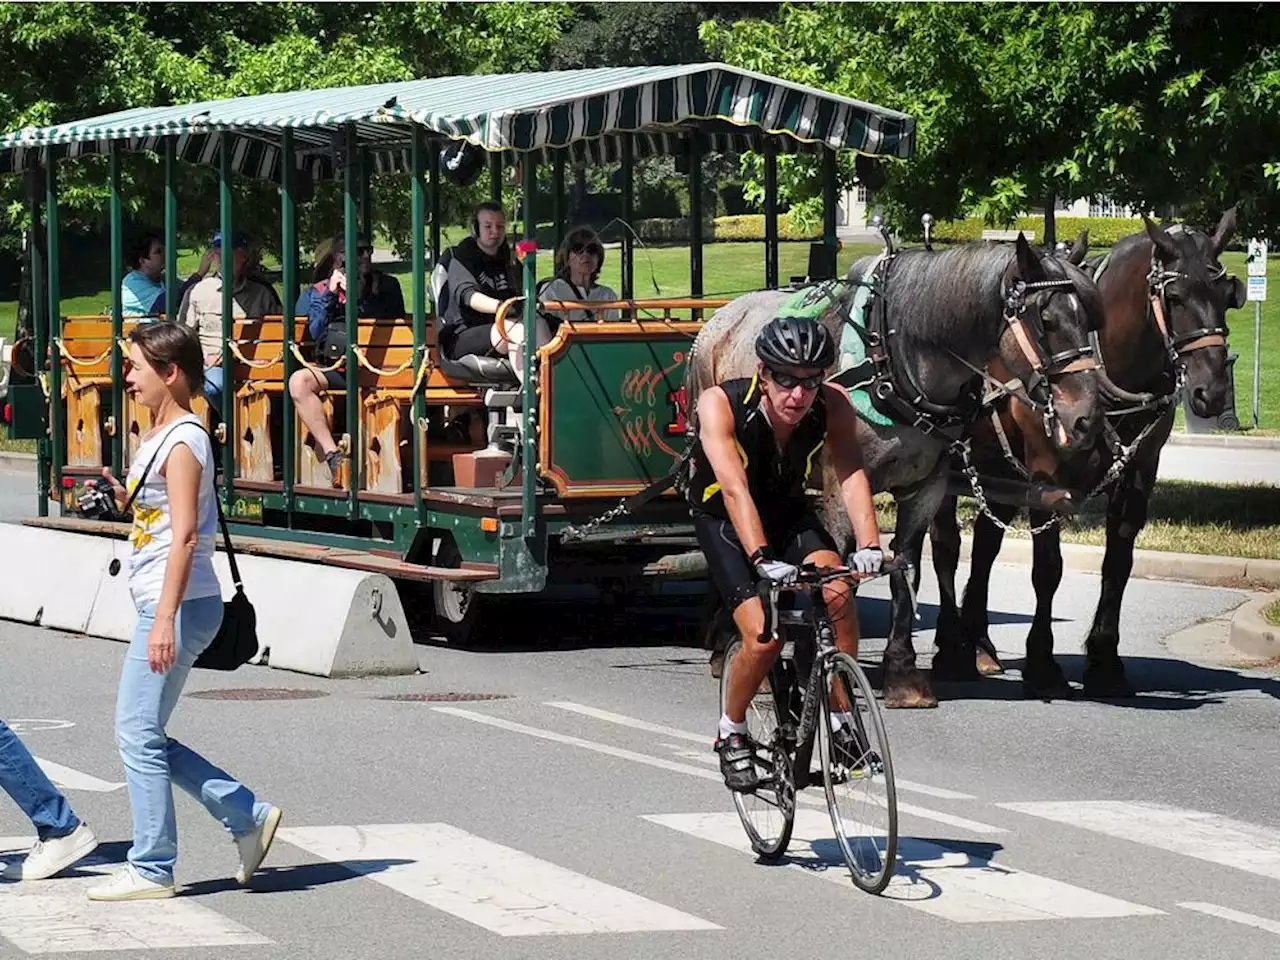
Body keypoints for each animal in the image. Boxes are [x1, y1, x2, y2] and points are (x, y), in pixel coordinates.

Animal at [691, 236, 1111, 711]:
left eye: (1090, 319)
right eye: (1046, 320)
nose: (1087, 420)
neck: (894, 362)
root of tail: (718, 318)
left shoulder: (927, 486)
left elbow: (906, 568)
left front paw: (902, 672)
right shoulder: (841, 486)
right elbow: (840, 564)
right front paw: (810, 658)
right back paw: (730, 649)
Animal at [926, 209, 1244, 701]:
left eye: (1227, 296)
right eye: (1174, 296)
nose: (1210, 392)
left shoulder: (1139, 472)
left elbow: (1118, 564)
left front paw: (1105, 660)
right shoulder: (1046, 473)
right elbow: (1048, 568)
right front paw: (1042, 664)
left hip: (999, 466)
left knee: (985, 542)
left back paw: (978, 641)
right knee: (945, 544)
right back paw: (952, 647)